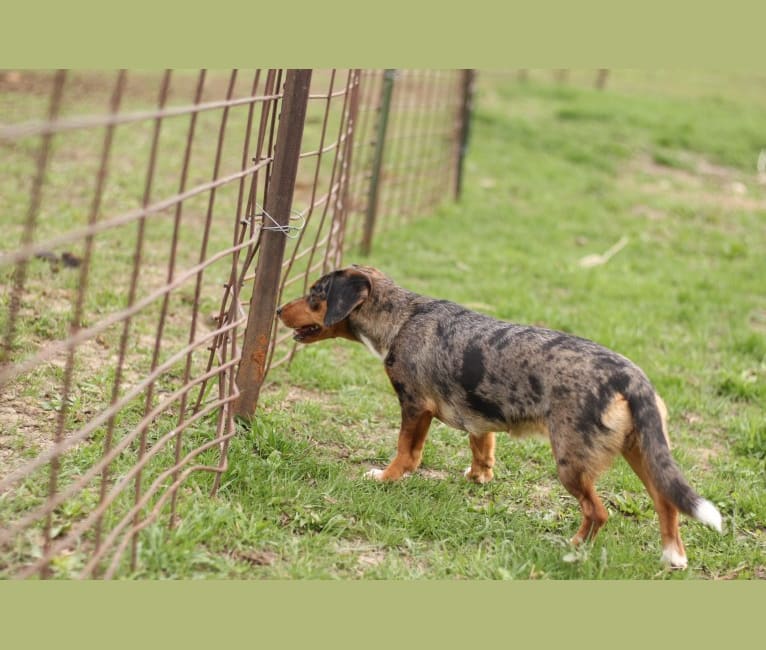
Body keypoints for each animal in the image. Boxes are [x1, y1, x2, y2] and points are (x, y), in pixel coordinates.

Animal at [280, 266, 724, 564]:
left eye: (316, 292)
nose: (279, 309)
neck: (402, 317)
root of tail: (629, 375)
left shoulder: (414, 406)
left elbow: (407, 453)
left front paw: (386, 478)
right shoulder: (478, 415)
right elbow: (482, 447)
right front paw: (479, 477)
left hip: (571, 463)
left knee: (598, 512)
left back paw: (572, 550)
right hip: (642, 451)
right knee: (666, 502)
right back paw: (673, 557)